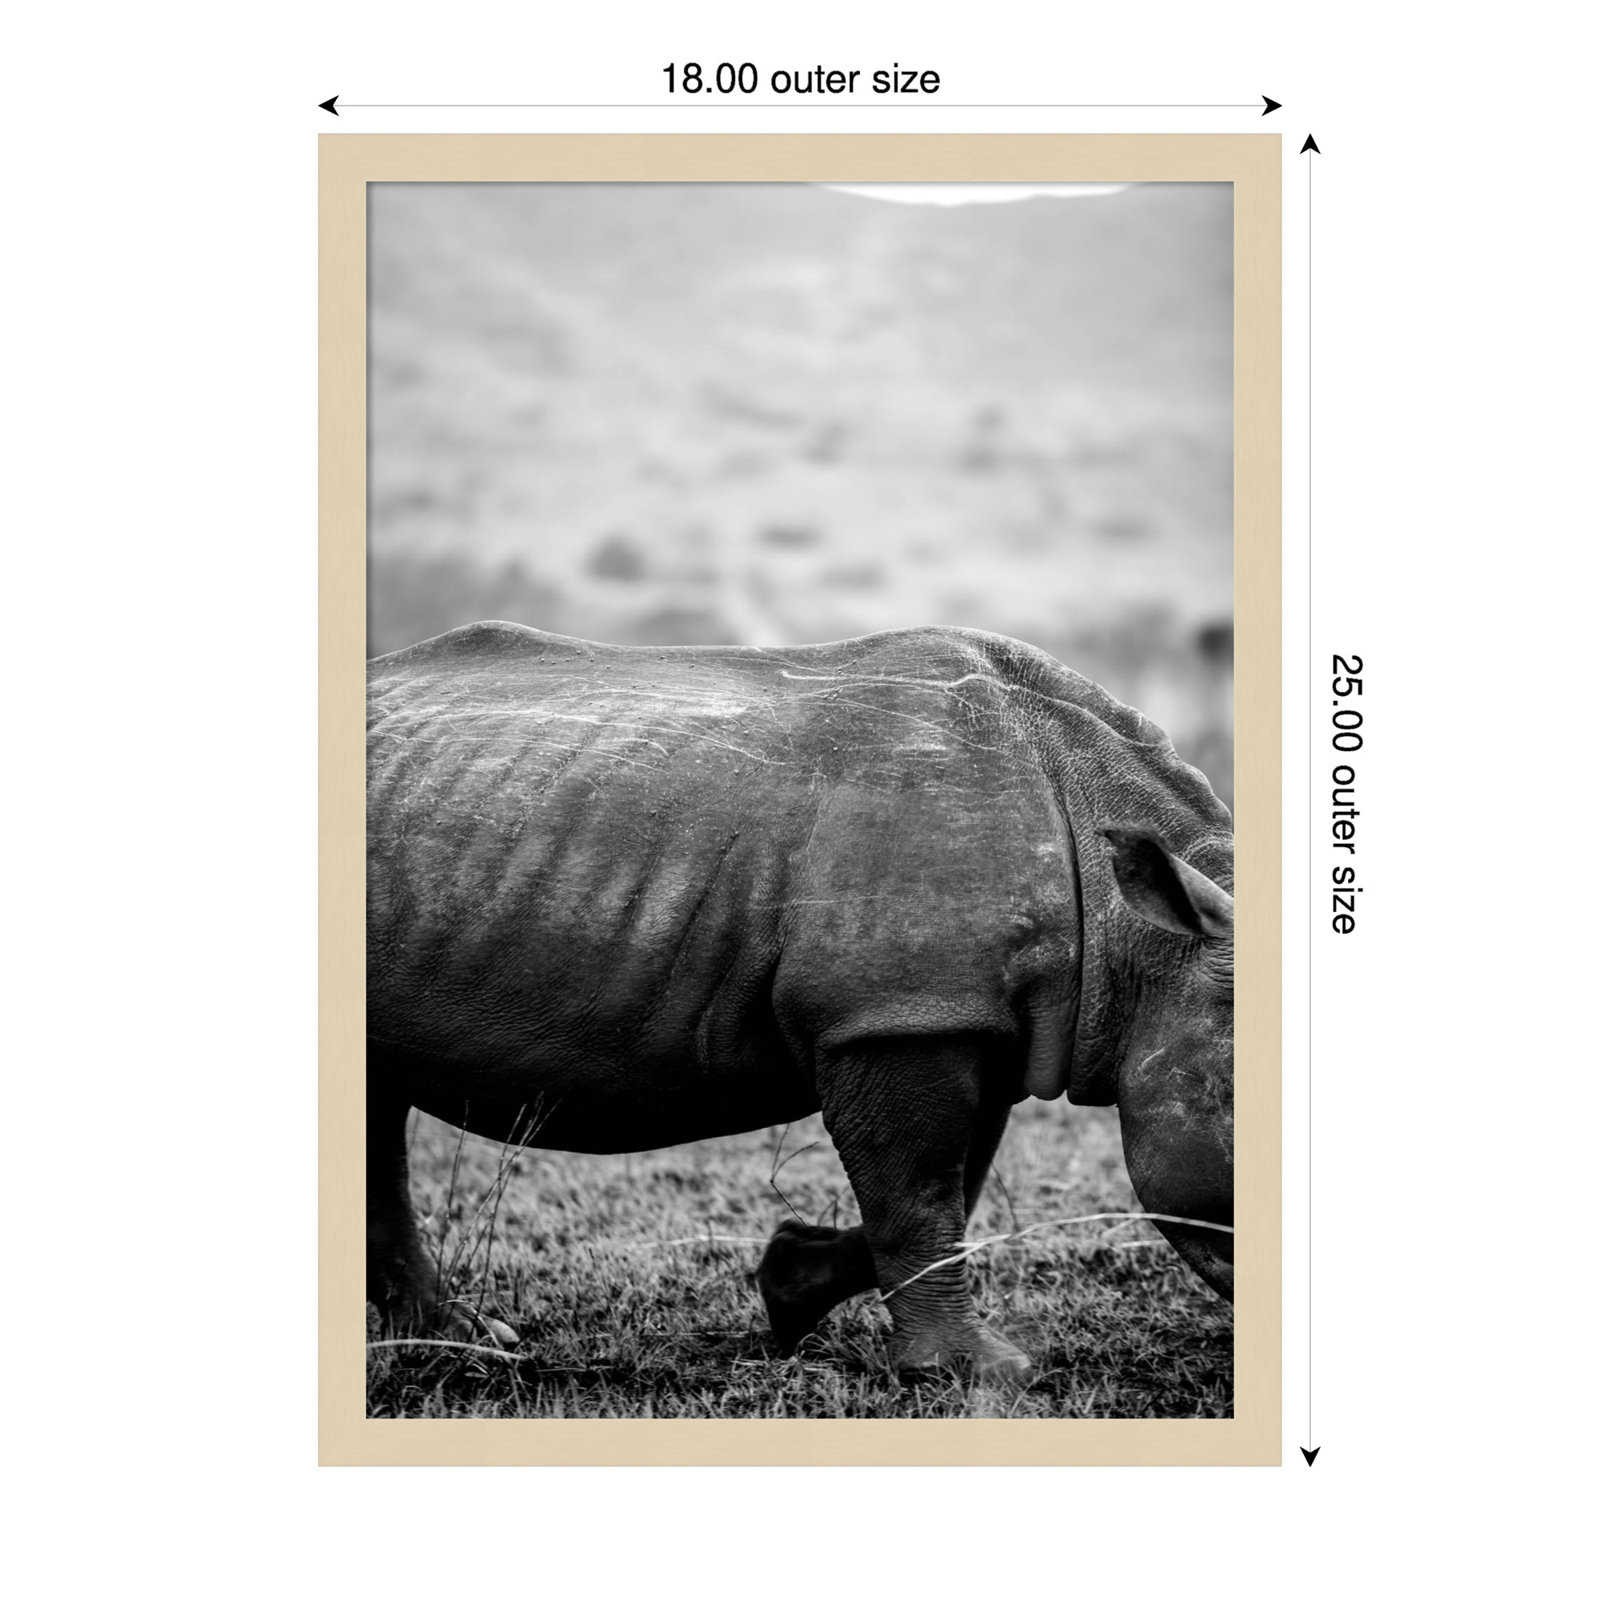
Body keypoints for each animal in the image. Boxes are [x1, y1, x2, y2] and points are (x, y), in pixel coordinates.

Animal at [367, 622, 1234, 1380]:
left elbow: (955, 1182)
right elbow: (920, 1192)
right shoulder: (895, 1014)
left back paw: (454, 1339)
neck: (1142, 940)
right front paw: (974, 1373)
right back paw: (463, 1344)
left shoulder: (961, 1014)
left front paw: (791, 1286)